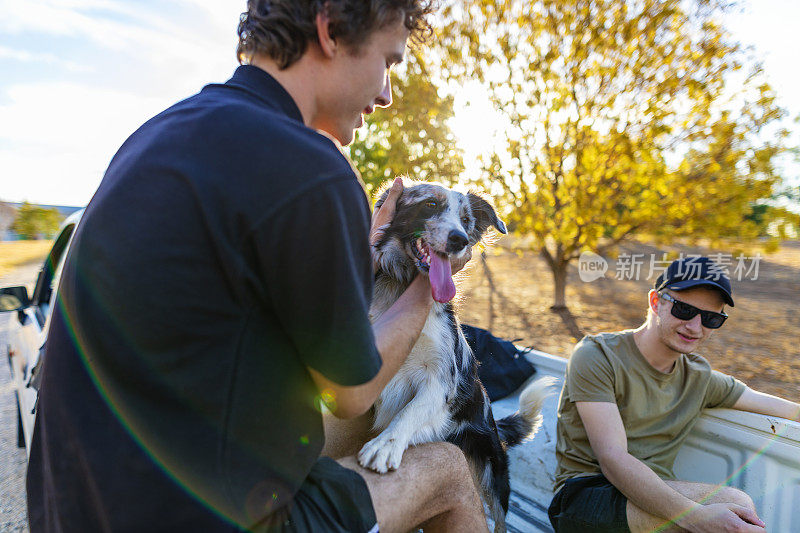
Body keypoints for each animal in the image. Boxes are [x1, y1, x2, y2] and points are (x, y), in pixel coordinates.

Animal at [360, 182, 552, 528]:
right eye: (430, 204)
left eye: (465, 220)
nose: (459, 239)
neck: (404, 286)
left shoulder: (441, 380)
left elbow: (408, 412)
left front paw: (386, 444)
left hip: (493, 478)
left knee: (500, 521)